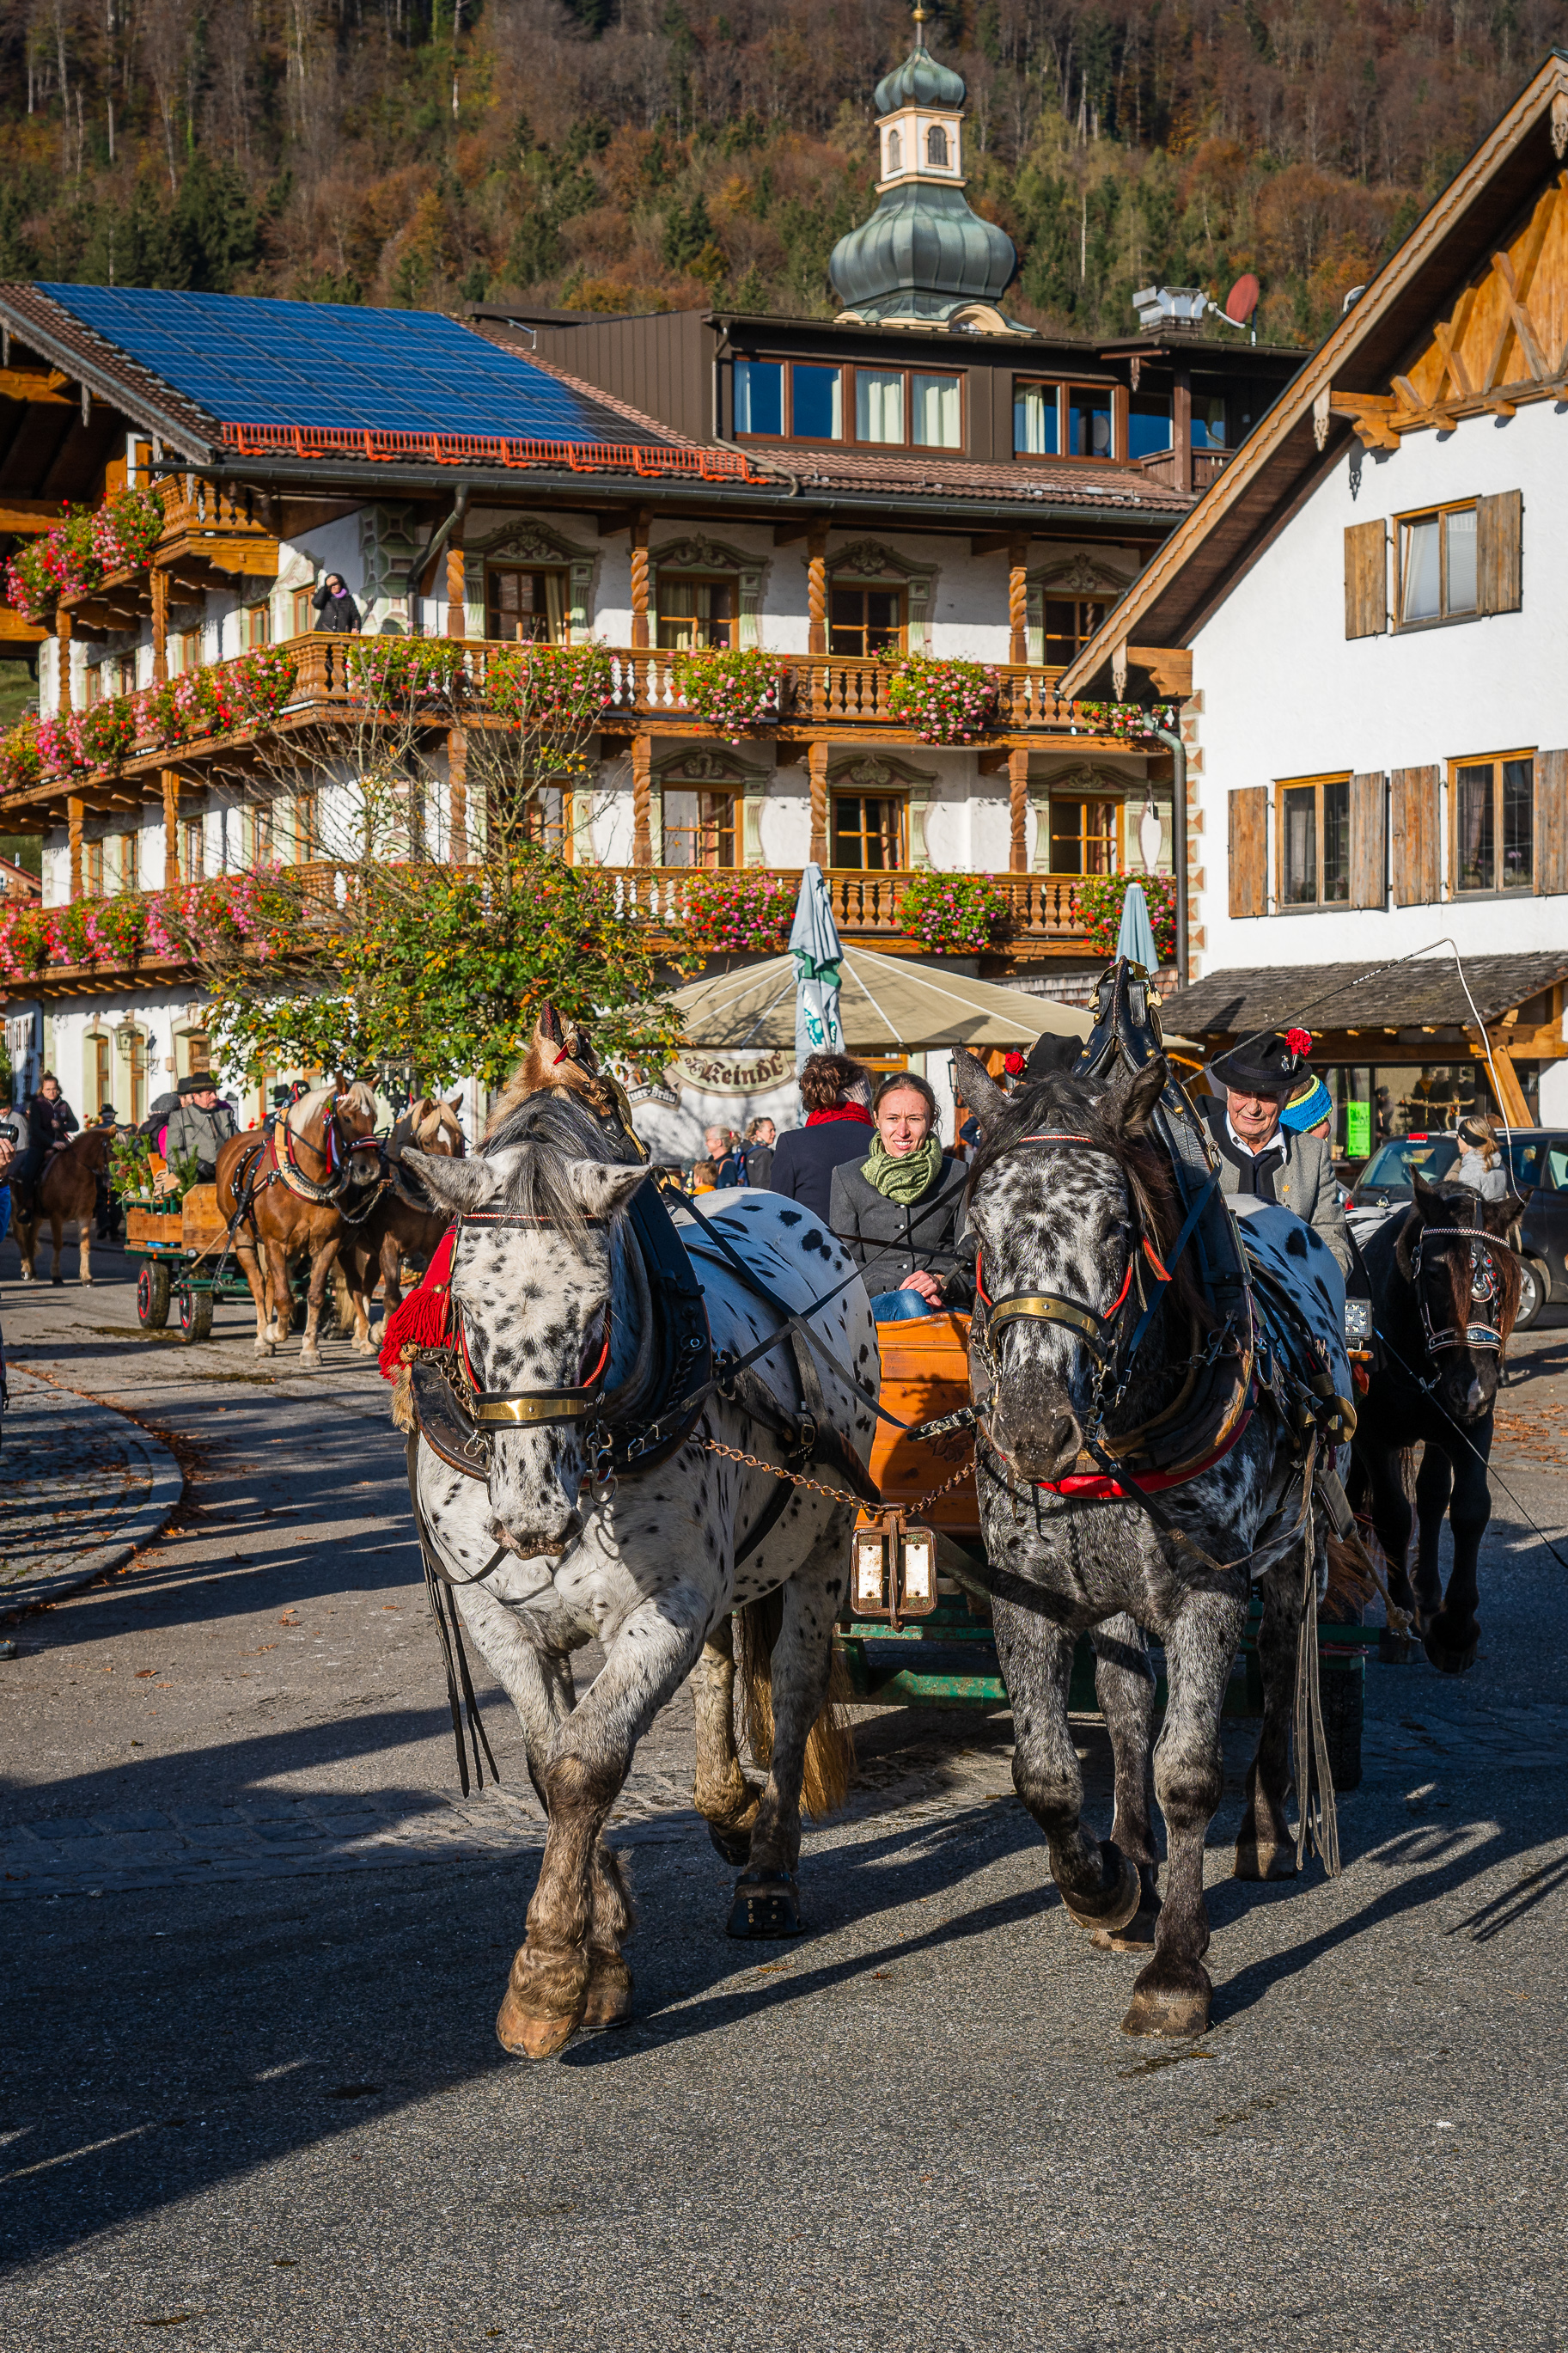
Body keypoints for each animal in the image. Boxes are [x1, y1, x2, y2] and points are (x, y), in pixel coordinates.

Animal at [14, 1128, 117, 1286]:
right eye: (111, 1150)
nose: (112, 1180)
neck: (75, 1174)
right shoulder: (56, 1216)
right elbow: (58, 1244)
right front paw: (56, 1275)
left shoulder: (84, 1215)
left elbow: (85, 1245)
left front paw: (86, 1276)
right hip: (16, 1209)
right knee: (20, 1237)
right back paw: (26, 1269)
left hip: (37, 1215)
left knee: (30, 1238)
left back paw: (33, 1271)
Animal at [213, 1079, 382, 1367]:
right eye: (347, 1118)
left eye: (374, 1119)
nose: (368, 1170)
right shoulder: (275, 1243)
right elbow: (283, 1298)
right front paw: (272, 1333)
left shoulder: (327, 1245)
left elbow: (314, 1295)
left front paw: (310, 1348)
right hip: (244, 1239)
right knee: (258, 1286)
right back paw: (262, 1337)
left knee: (274, 1283)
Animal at [401, 1089, 877, 2061]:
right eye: (462, 1307)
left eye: (595, 1313)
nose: (532, 1514)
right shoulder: (500, 1618)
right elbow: (548, 1766)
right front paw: (604, 1939)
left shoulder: (665, 1610)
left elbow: (588, 1764)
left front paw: (549, 1974)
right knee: (721, 1670)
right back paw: (723, 1804)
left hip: (819, 1548)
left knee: (792, 1693)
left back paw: (767, 1870)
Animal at [955, 1048, 1353, 2040]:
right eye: (979, 1229)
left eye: (1115, 1227)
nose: (1033, 1425)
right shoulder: (1026, 1592)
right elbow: (1048, 1772)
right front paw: (1103, 1882)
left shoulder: (1208, 1590)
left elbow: (1187, 1772)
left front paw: (1177, 1966)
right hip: (1116, 1594)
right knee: (1130, 1704)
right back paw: (1132, 1850)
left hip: (1288, 1558)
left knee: (1281, 1665)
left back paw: (1265, 1827)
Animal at [1347, 1172, 1521, 1675]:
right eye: (1436, 1274)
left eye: (1499, 1278)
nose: (1474, 1385)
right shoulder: (1373, 1435)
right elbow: (1392, 1516)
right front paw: (1399, 1618)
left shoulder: (1470, 1428)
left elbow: (1467, 1509)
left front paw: (1455, 1629)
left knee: (1429, 1496)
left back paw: (1427, 1594)